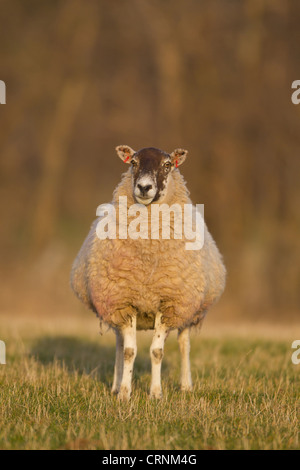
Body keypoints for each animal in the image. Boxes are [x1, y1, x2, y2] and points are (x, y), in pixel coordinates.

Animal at [70, 145, 225, 398]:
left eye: (167, 165)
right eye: (133, 162)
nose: (144, 187)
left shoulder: (168, 303)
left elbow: (156, 351)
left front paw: (155, 393)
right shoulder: (124, 301)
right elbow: (129, 351)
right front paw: (124, 393)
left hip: (187, 309)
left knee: (184, 343)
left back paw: (186, 386)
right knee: (119, 344)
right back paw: (115, 386)